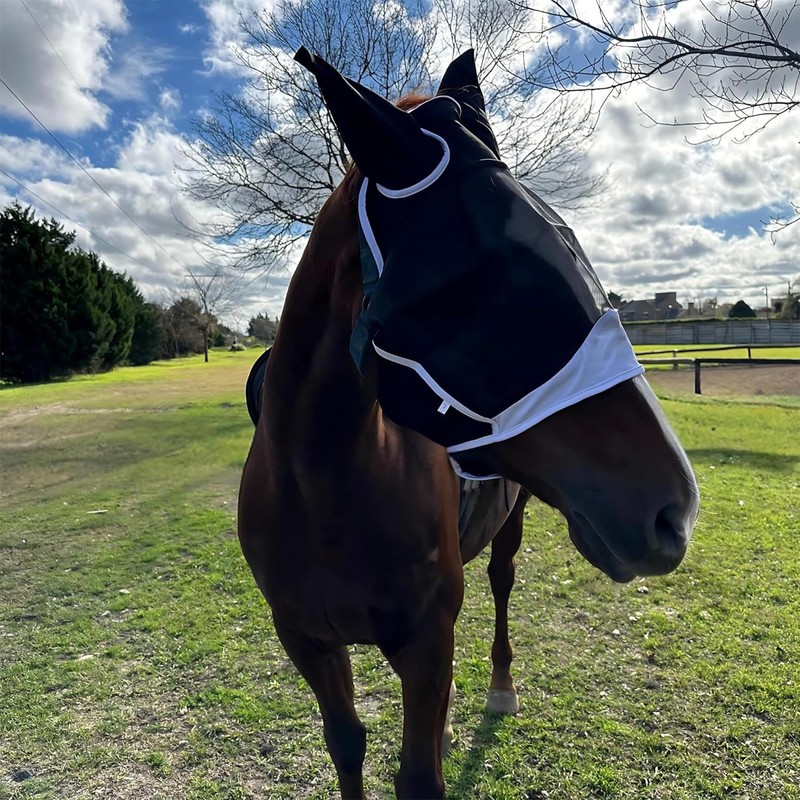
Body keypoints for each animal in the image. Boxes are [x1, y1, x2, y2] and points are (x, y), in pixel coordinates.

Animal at [238, 47, 699, 800]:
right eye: (476, 275)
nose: (674, 511)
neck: (323, 489)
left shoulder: (426, 644)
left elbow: (418, 775)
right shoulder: (308, 641)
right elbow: (347, 744)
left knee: (503, 587)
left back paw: (498, 689)